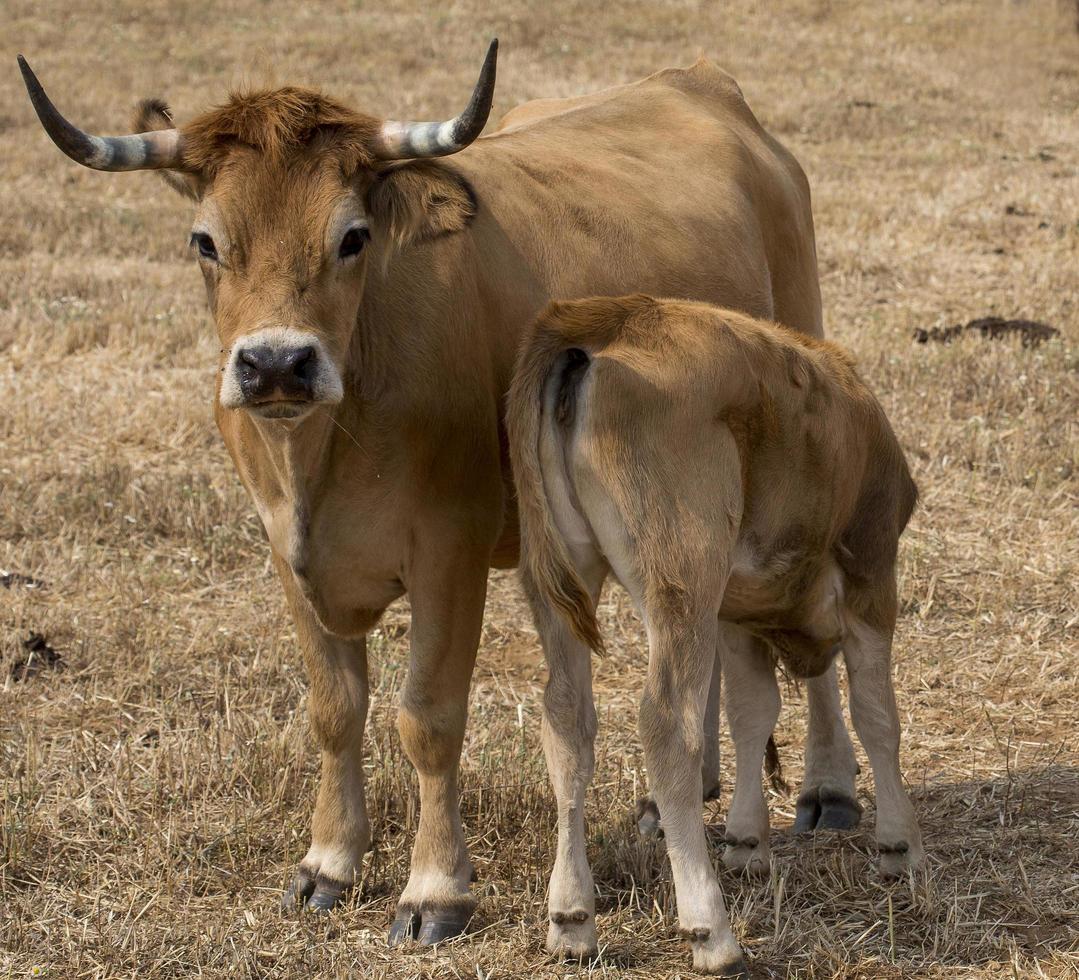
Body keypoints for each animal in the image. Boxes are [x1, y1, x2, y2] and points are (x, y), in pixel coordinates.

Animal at [16, 42, 858, 945]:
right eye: (205, 241)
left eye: (351, 236)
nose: (276, 364)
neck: (329, 439)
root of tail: (697, 81)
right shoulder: (286, 552)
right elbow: (334, 707)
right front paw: (328, 860)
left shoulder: (449, 551)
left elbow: (427, 717)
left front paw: (433, 888)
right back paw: (681, 792)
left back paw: (828, 789)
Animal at [509, 295, 923, 975]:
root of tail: (600, 319)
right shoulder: (871, 571)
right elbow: (877, 714)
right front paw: (900, 845)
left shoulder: (733, 614)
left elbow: (751, 712)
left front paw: (747, 839)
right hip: (683, 585)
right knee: (667, 728)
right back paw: (711, 930)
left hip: (562, 586)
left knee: (567, 721)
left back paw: (571, 918)